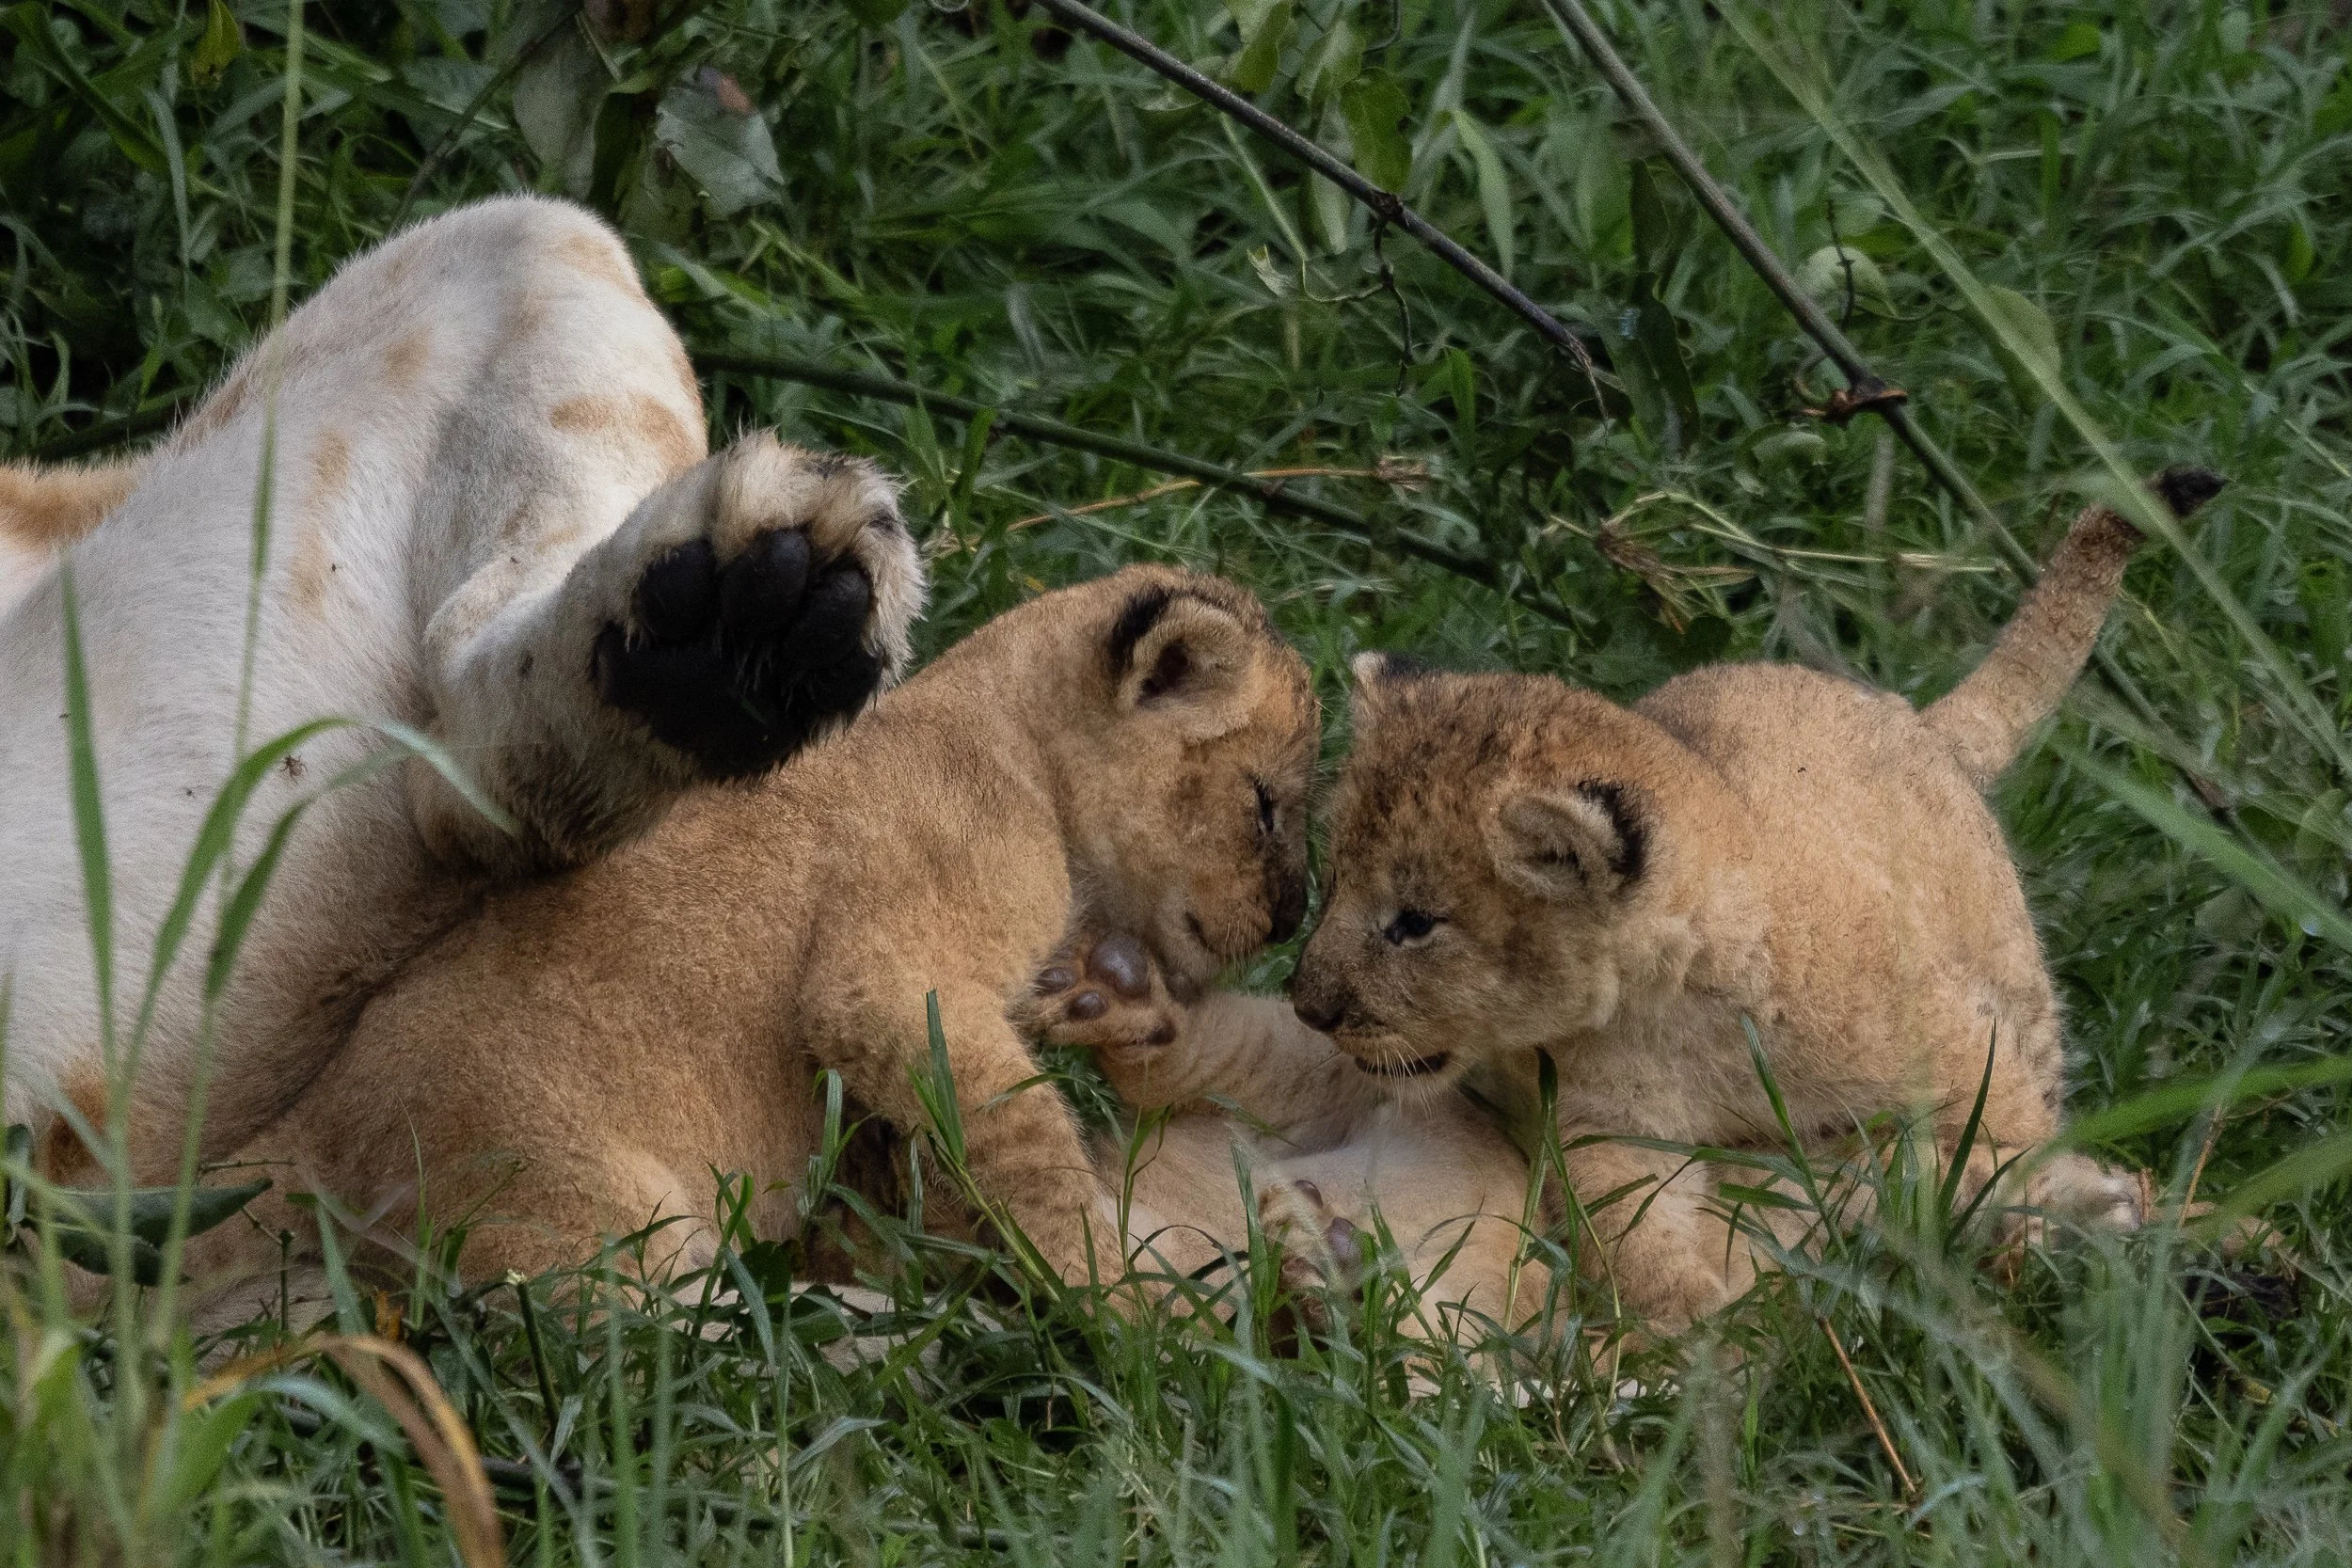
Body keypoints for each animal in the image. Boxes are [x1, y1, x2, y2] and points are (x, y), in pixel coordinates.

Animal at [1288, 471, 2223, 1331]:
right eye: (1332, 882)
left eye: (1415, 922)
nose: (1306, 1006)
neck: (1669, 1008)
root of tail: (1911, 718)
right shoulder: (1607, 1122)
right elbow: (1635, 1227)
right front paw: (1694, 1328)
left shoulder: (1954, 1047)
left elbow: (2010, 1138)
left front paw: (2032, 1232)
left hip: (2014, 980)